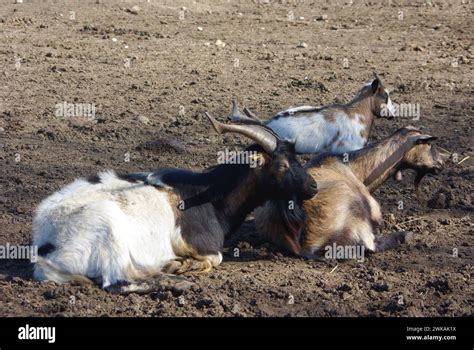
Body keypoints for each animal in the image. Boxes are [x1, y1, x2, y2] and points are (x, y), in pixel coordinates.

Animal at [33, 113, 318, 292]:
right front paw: (186, 265)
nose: (313, 187)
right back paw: (176, 278)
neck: (210, 195)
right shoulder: (199, 243)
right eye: (282, 165)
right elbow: (216, 258)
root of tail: (44, 246)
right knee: (118, 282)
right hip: (108, 226)